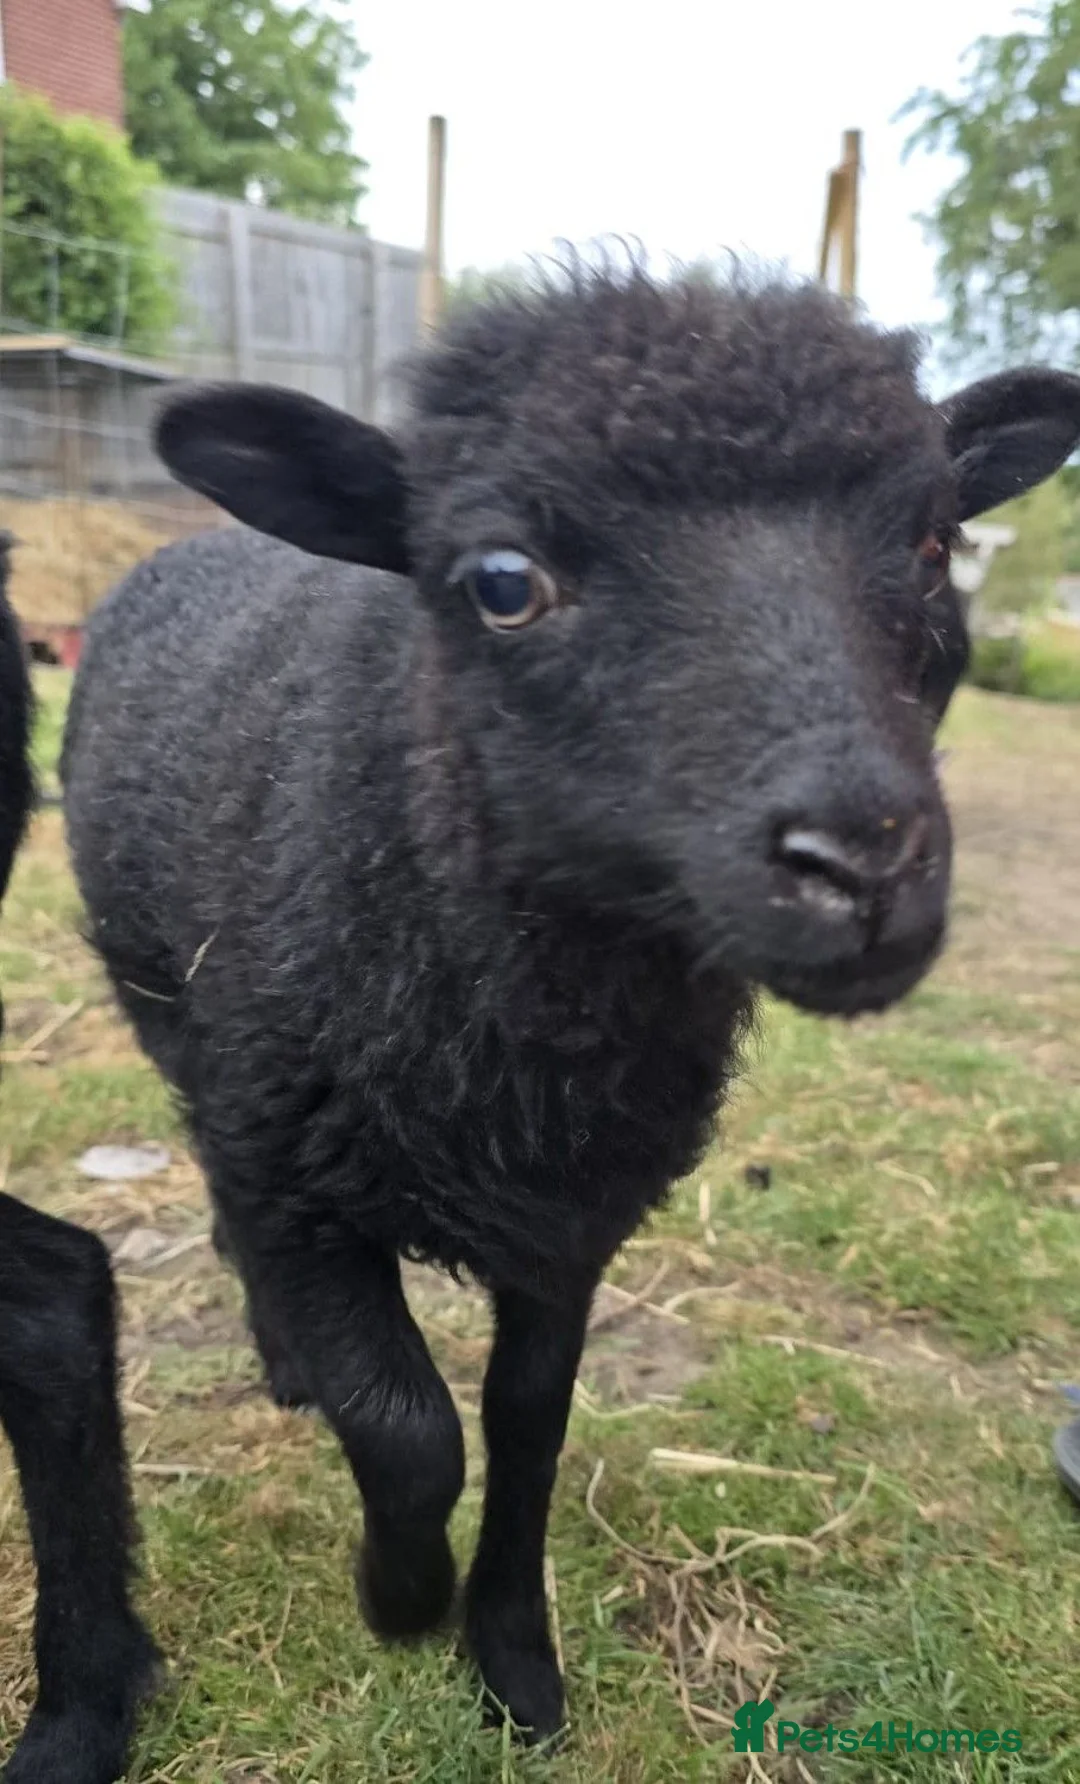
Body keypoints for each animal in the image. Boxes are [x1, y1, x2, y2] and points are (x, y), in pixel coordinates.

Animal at [60, 262, 1080, 1744]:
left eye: (938, 543)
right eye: (502, 581)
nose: (865, 865)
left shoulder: (573, 1218)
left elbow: (527, 1426)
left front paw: (512, 1662)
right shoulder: (294, 1170)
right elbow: (409, 1425)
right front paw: (400, 1599)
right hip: (177, 1022)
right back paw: (286, 1361)